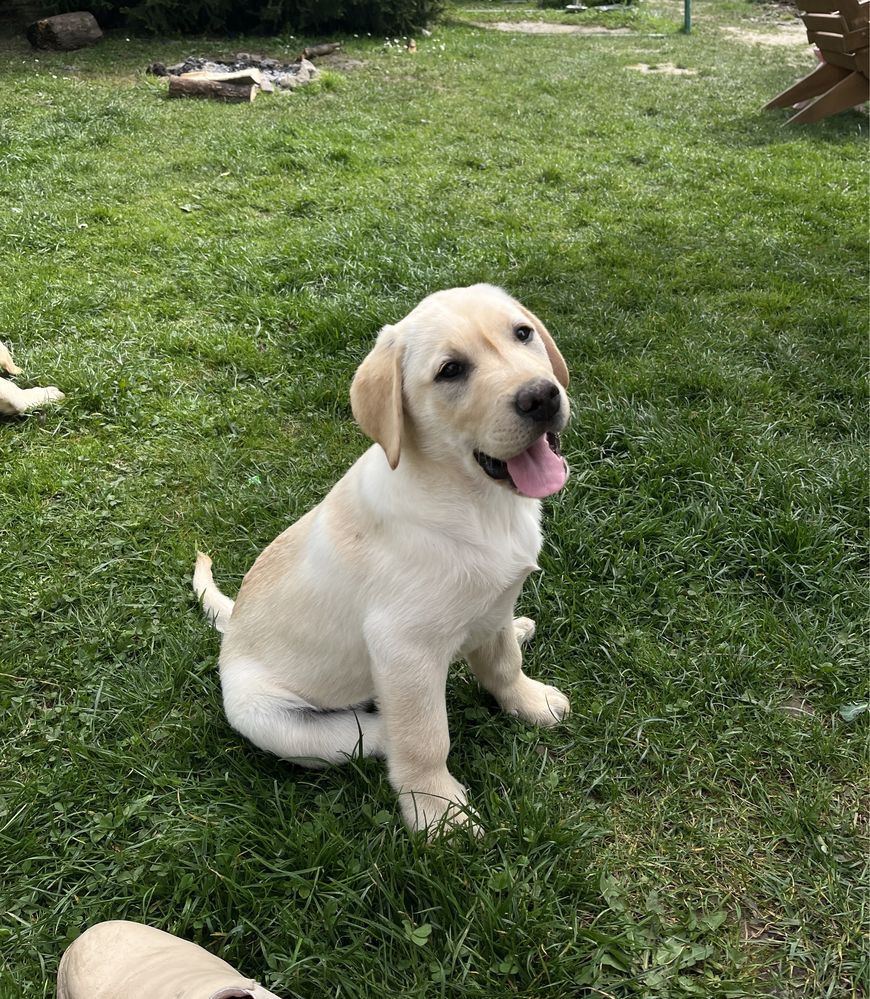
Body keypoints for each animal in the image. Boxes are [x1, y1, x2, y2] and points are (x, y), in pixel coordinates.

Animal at [198, 288, 576, 836]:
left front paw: (530, 701)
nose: (542, 397)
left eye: (523, 334)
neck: (477, 503)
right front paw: (438, 810)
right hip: (278, 721)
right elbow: (425, 737)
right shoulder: (403, 649)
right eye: (450, 370)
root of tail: (230, 635)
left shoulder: (495, 600)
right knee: (377, 736)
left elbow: (505, 664)